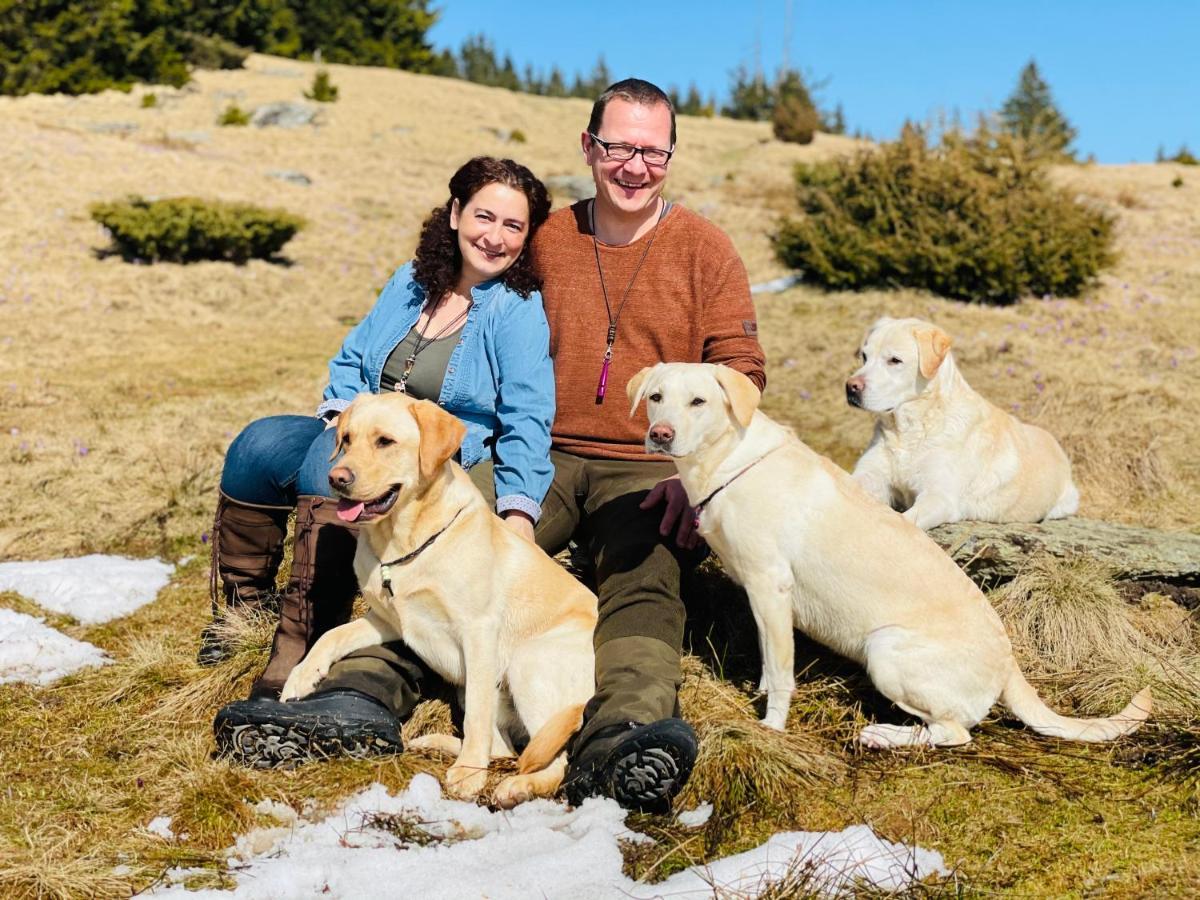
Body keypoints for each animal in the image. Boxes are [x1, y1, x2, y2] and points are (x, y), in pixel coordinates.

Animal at [282, 391, 600, 806]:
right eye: (347, 439)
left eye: (385, 441)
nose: (337, 479)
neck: (403, 540)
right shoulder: (389, 620)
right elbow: (330, 635)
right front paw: (302, 676)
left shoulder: (478, 632)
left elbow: (478, 716)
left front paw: (469, 774)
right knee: (507, 749)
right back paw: (439, 744)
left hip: (528, 664)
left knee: (551, 758)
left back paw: (513, 785)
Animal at [624, 362, 1147, 748]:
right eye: (656, 397)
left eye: (699, 402)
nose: (661, 434)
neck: (731, 463)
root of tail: (1008, 662)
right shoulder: (763, 601)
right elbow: (772, 659)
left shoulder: (770, 586)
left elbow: (781, 671)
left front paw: (771, 727)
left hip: (885, 650)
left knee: (953, 734)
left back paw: (884, 735)